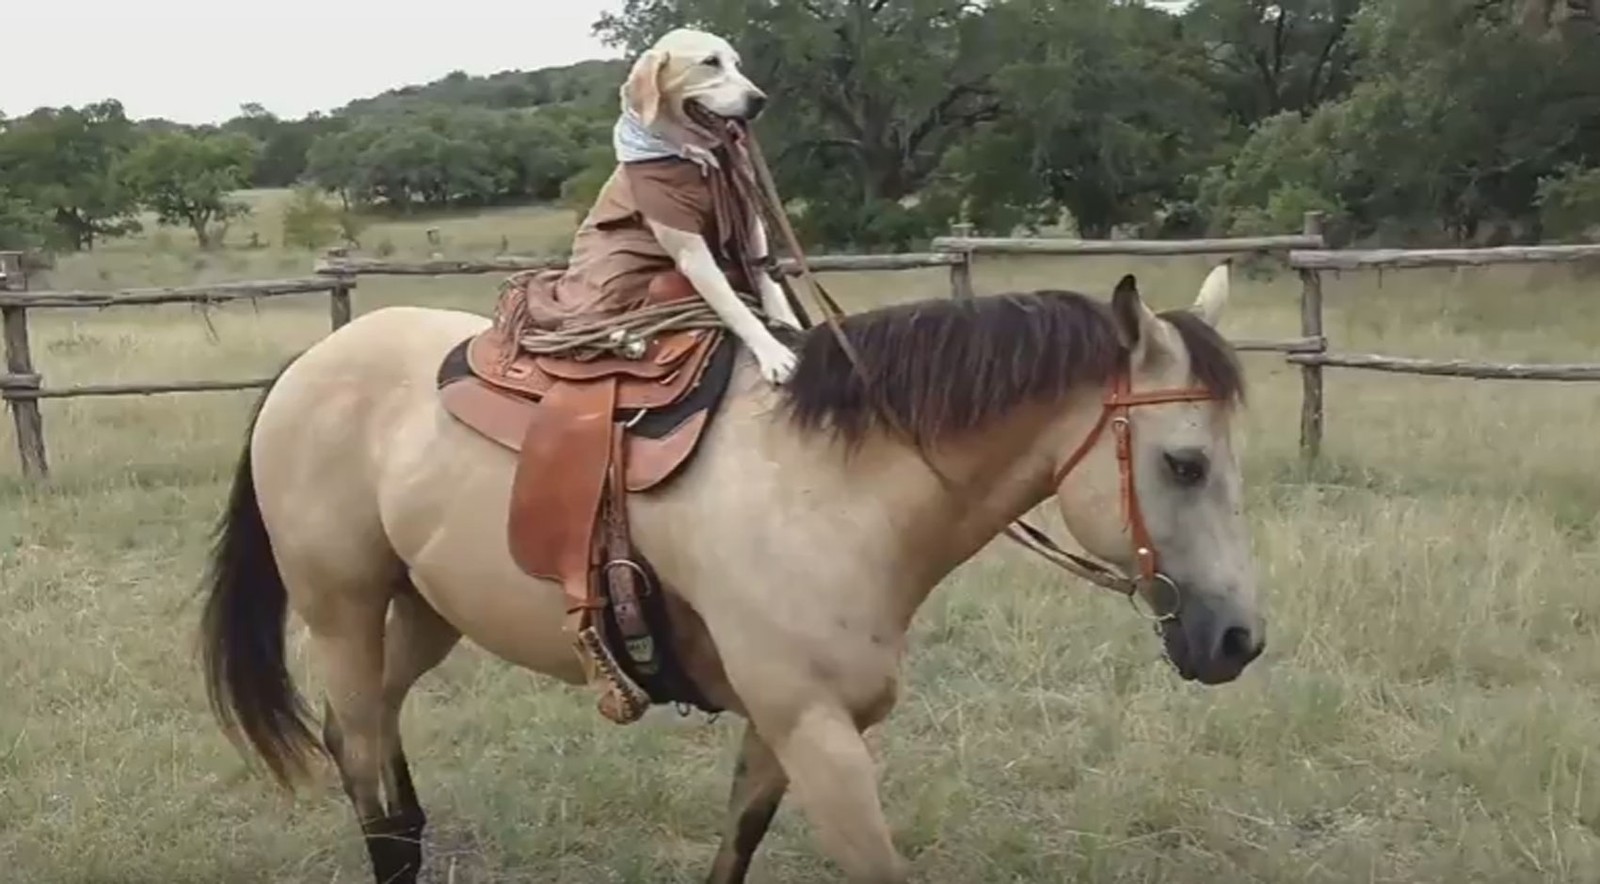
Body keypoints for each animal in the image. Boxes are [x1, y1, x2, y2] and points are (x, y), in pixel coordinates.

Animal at [196, 259, 1260, 877]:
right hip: (341, 607)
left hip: (423, 611)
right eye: (1183, 462)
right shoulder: (816, 731)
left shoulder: (781, 727)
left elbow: (736, 848)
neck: (835, 489)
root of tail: (311, 364)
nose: (1240, 640)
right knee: (367, 774)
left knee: (362, 737)